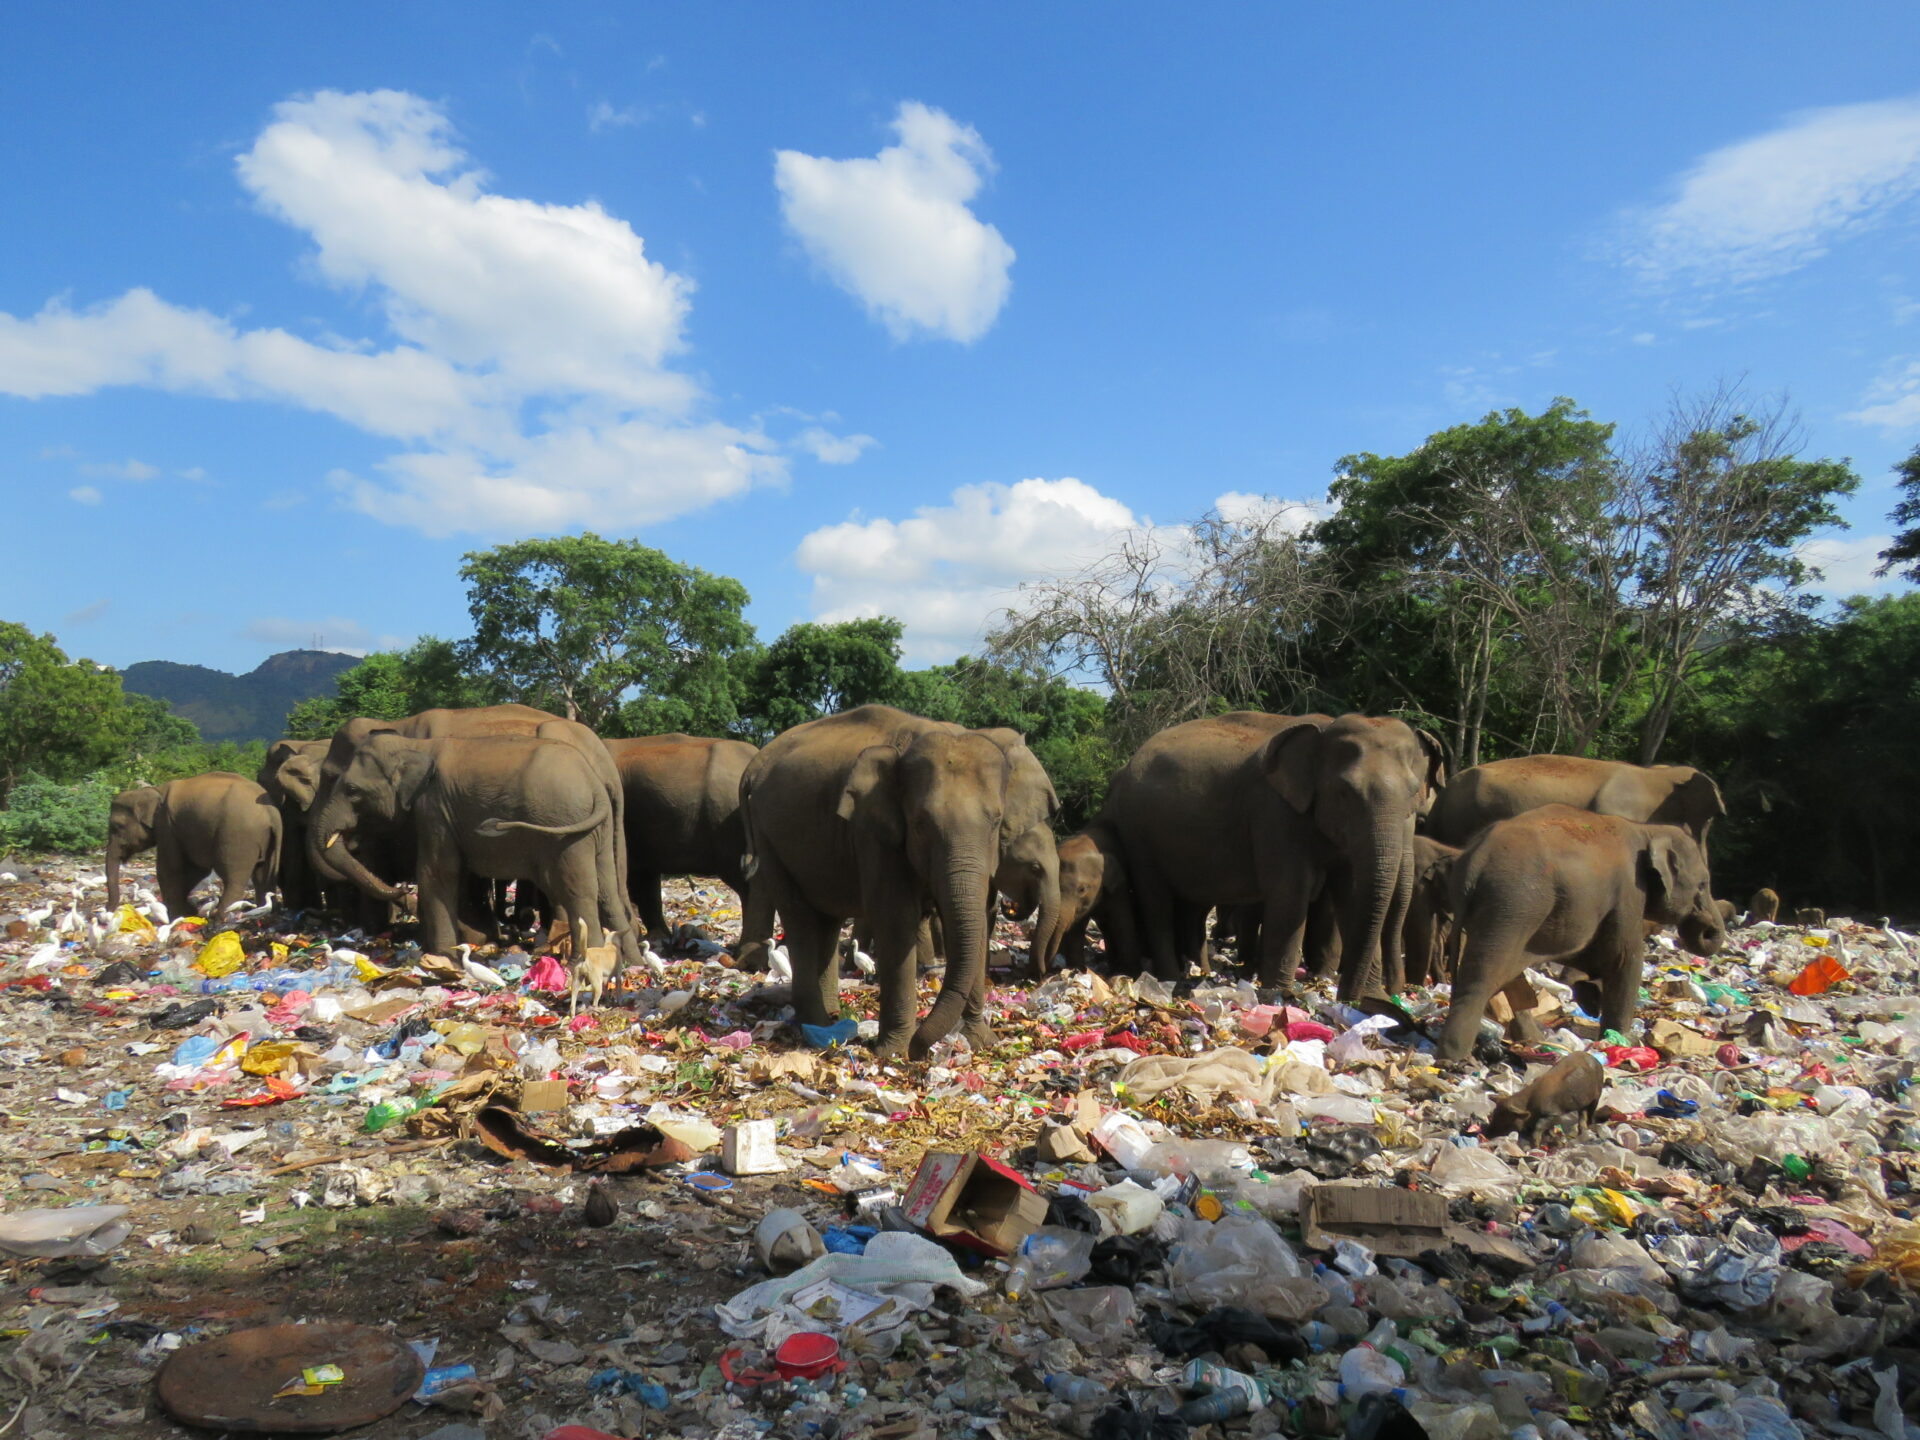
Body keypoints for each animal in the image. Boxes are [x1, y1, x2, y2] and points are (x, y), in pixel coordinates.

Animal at [106, 772, 282, 921]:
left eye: (117, 826)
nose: (110, 910)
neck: (154, 790)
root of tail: (271, 813)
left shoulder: (167, 827)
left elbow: (170, 869)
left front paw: (177, 916)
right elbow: (195, 870)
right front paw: (189, 912)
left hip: (238, 837)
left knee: (234, 880)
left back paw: (220, 920)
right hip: (266, 841)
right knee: (262, 877)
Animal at [306, 705, 640, 962]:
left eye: (348, 788)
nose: (401, 893)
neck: (407, 735)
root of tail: (598, 775)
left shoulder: (434, 808)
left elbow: (437, 872)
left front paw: (443, 954)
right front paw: (474, 939)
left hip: (562, 829)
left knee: (573, 888)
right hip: (602, 825)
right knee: (607, 886)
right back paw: (627, 959)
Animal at [735, 705, 1059, 1059]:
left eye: (996, 821)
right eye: (919, 824)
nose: (921, 1049)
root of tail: (754, 764)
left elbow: (979, 920)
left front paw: (980, 1042)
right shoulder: (873, 832)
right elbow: (896, 919)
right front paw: (893, 1052)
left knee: (827, 920)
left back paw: (832, 1017)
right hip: (769, 837)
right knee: (800, 917)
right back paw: (817, 1027)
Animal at [1100, 712, 1445, 1000]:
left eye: (1414, 793)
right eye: (1344, 792)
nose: (1346, 997)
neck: (1324, 728)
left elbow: (1351, 895)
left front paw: (1374, 1001)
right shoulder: (1274, 812)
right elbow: (1291, 894)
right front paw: (1278, 995)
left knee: (1191, 906)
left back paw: (1199, 973)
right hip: (1137, 832)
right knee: (1155, 898)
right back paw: (1169, 979)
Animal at [1436, 805, 1725, 1060]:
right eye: (1703, 884)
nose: (1708, 930)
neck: (1646, 829)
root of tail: (1475, 862)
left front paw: (1591, 998)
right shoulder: (1629, 893)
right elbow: (1624, 960)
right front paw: (1622, 1041)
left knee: (1501, 974)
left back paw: (1532, 1039)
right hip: (1513, 904)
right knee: (1482, 978)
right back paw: (1455, 1058)